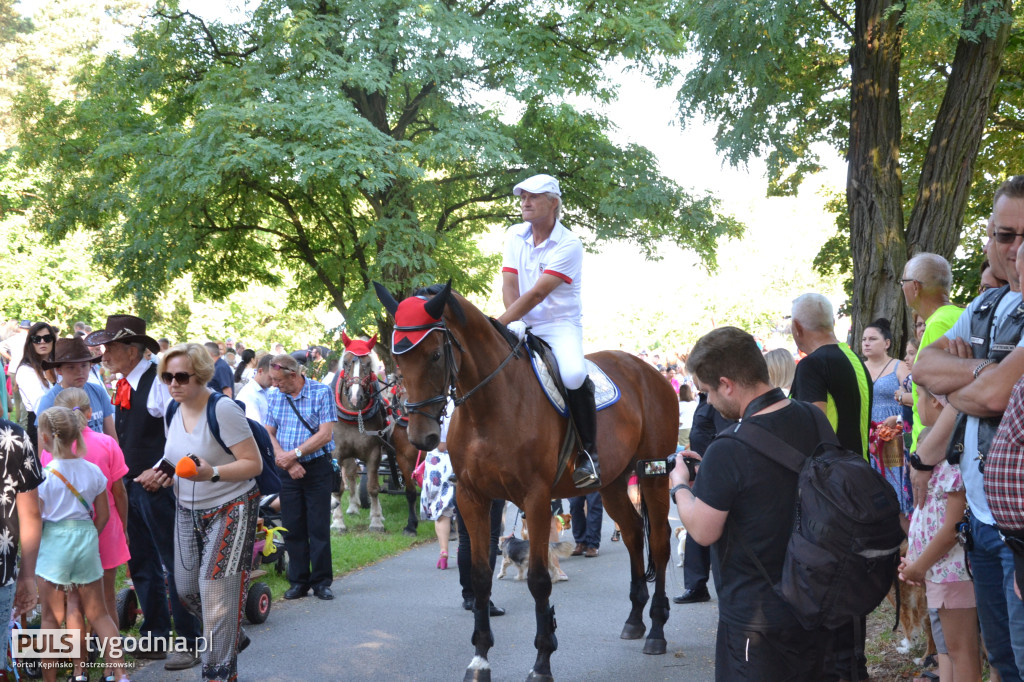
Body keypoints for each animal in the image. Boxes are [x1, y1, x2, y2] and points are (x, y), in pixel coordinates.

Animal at [376, 280, 679, 679]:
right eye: (398, 360)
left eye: (435, 355)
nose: (420, 437)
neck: (488, 407)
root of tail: (649, 371)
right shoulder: (473, 498)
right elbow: (480, 575)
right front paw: (480, 658)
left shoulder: (535, 500)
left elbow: (538, 579)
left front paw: (542, 660)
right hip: (613, 483)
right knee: (631, 534)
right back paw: (634, 619)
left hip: (652, 473)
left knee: (657, 542)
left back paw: (657, 630)